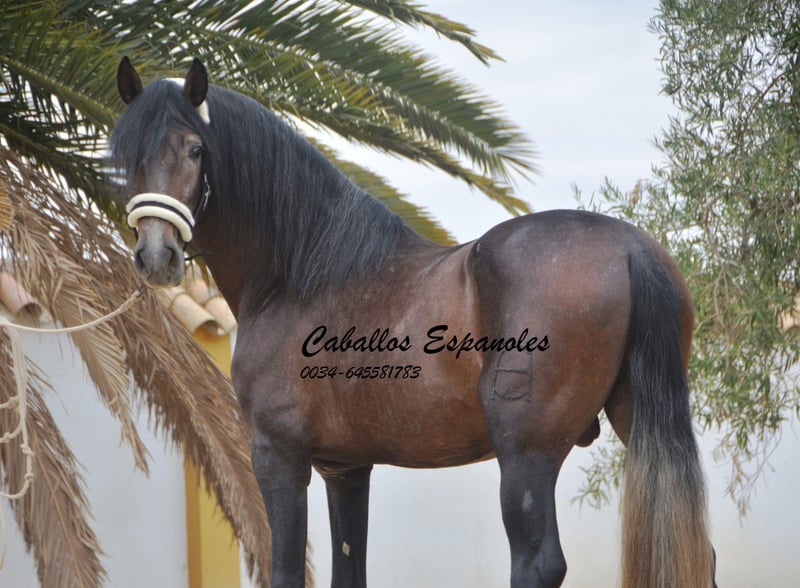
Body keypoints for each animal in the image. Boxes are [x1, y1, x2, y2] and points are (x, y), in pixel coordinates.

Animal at [111, 57, 716, 588]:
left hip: (527, 454)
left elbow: (286, 572)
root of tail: (629, 247)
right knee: (697, 552)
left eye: (195, 149)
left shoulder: (278, 457)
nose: (157, 256)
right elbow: (349, 570)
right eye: (124, 155)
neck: (301, 277)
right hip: (635, 421)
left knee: (538, 564)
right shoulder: (346, 468)